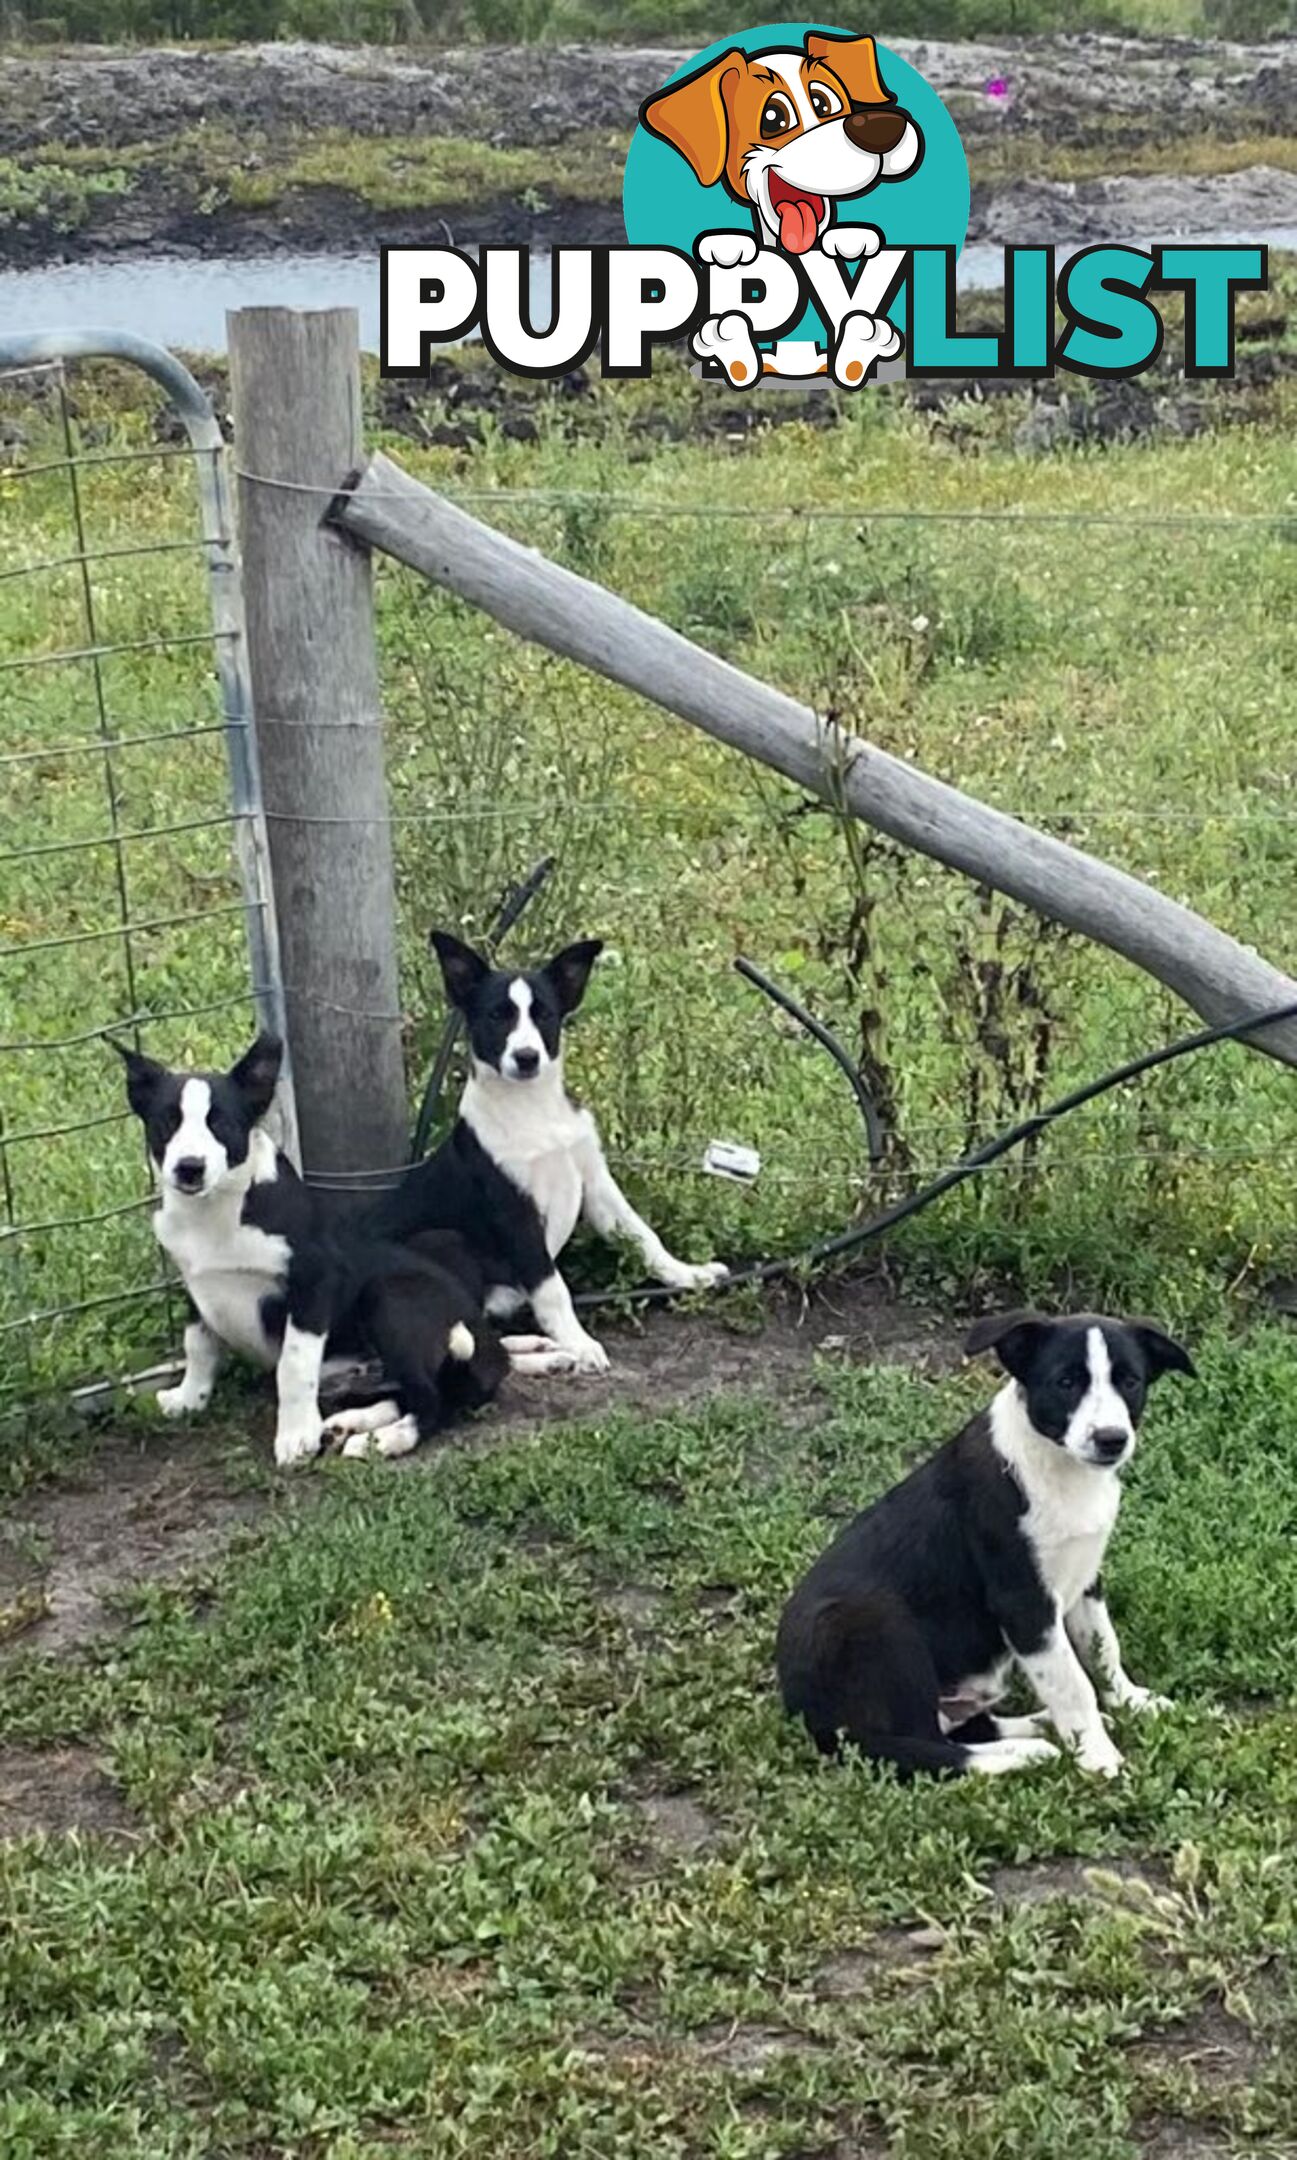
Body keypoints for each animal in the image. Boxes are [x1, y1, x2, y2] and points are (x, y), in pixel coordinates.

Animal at [369, 924, 726, 1365]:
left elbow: (643, 1235)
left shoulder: (596, 1183)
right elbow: (553, 1287)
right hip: (442, 1242)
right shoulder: (515, 1212)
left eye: (545, 1016)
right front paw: (580, 1341)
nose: (526, 1057)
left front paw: (689, 1274)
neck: (533, 1108)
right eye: (496, 1016)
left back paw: (542, 1349)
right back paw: (555, 1356)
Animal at [769, 1304, 1193, 1779]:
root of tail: (808, 1718)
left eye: (1130, 1381)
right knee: (918, 1749)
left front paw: (1131, 1701)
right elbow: (1072, 1683)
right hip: (874, 1624)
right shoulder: (1023, 1602)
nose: (1111, 1439)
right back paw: (1030, 1753)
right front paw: (1098, 1756)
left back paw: (1040, 1727)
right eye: (1066, 1382)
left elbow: (1102, 1649)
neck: (1059, 1468)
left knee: (962, 1728)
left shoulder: (1085, 1576)